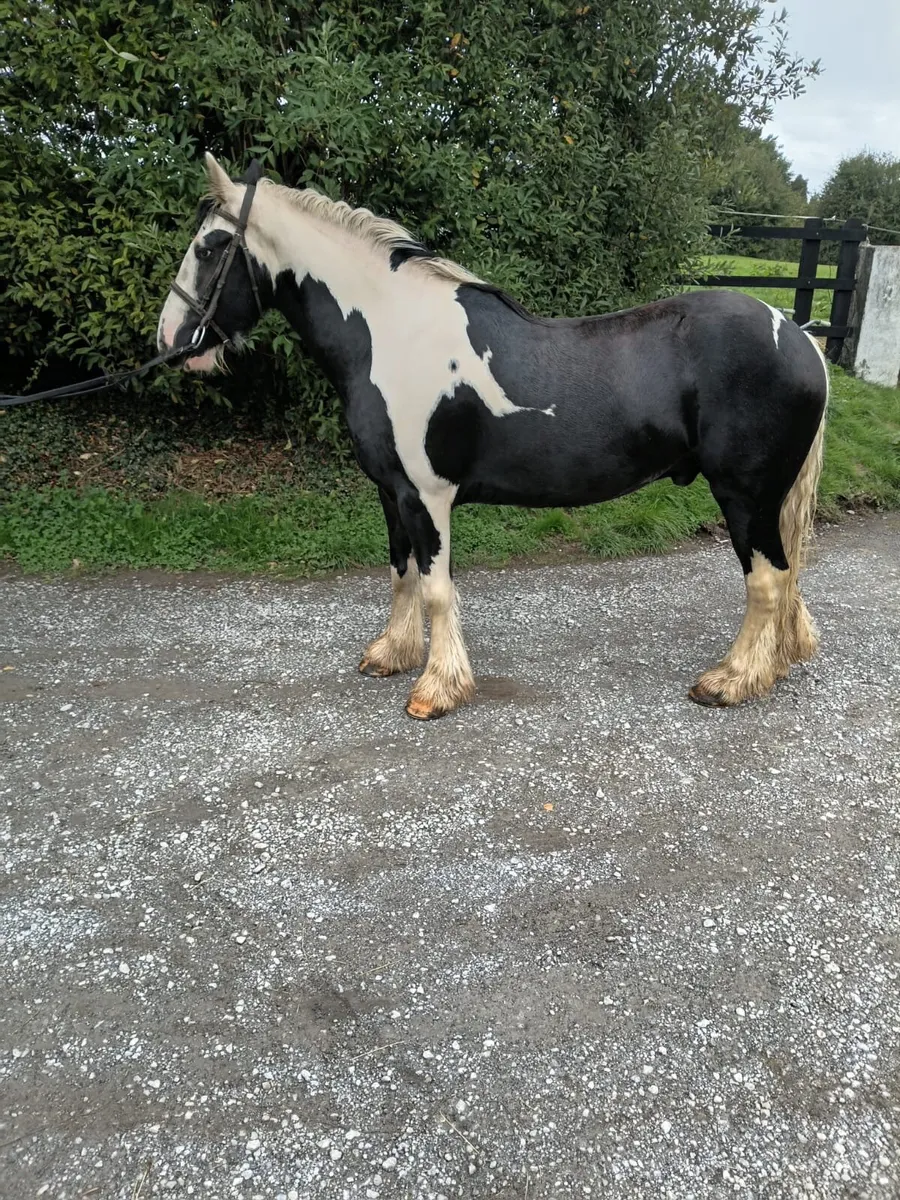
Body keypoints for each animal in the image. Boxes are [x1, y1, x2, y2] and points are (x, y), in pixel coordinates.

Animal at [157, 154, 829, 721]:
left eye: (212, 246)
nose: (170, 339)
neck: (392, 333)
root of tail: (797, 335)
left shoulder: (428, 496)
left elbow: (435, 589)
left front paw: (436, 689)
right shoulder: (392, 493)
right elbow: (401, 574)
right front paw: (391, 654)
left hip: (745, 496)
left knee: (767, 582)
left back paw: (731, 680)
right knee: (785, 579)